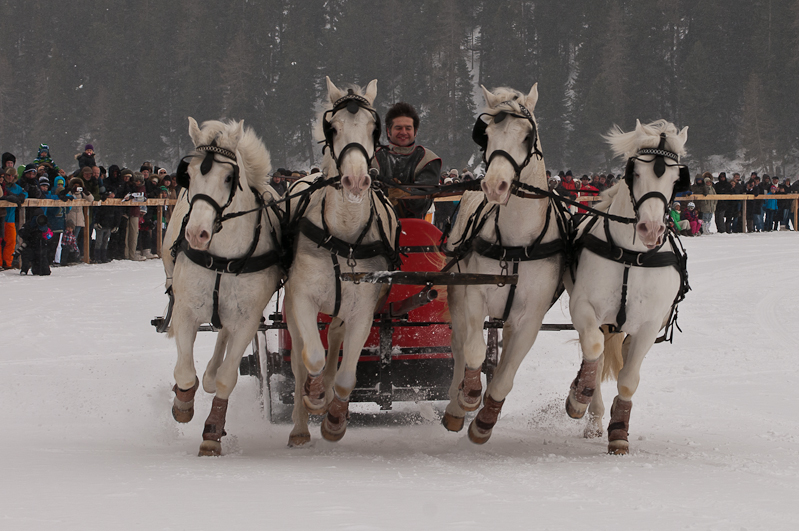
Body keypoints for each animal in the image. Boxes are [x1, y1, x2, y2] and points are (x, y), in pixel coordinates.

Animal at [161, 117, 282, 458]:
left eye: (229, 177)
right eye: (188, 176)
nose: (196, 233)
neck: (222, 256)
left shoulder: (247, 320)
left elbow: (227, 377)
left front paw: (212, 434)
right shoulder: (186, 313)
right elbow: (184, 373)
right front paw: (182, 405)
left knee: (222, 337)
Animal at [286, 77, 404, 446]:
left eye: (372, 129)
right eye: (333, 128)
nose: (355, 180)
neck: (344, 236)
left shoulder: (363, 310)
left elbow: (346, 375)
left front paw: (334, 419)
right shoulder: (301, 298)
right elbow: (311, 355)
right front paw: (315, 396)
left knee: (335, 336)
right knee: (298, 357)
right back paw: (300, 426)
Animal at [440, 85, 564, 444]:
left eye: (527, 136)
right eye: (488, 135)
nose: (493, 185)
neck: (515, 245)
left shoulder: (529, 318)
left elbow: (506, 375)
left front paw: (485, 420)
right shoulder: (471, 297)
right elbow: (474, 352)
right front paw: (467, 397)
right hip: (455, 294)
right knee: (459, 347)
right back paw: (455, 403)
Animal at [564, 120, 692, 458]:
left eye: (676, 179)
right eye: (634, 172)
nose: (651, 229)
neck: (633, 255)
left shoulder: (648, 326)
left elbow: (628, 380)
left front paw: (619, 433)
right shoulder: (584, 307)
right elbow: (593, 349)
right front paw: (578, 397)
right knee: (594, 353)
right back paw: (592, 414)